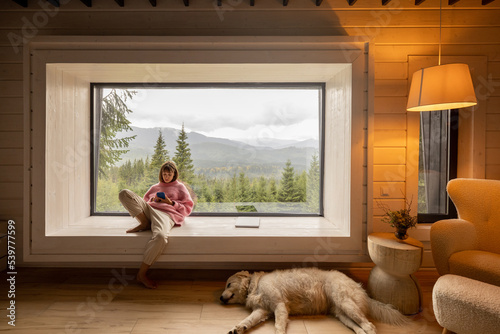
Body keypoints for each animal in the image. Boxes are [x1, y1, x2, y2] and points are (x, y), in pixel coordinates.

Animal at [221, 268, 408, 334]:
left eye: (229, 284)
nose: (221, 298)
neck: (254, 285)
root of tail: (360, 288)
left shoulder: (279, 306)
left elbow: (278, 325)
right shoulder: (262, 310)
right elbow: (248, 320)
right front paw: (238, 328)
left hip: (346, 304)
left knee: (370, 326)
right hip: (342, 314)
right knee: (361, 328)